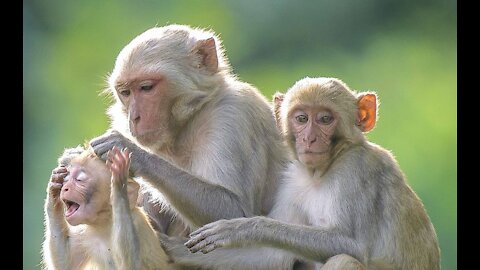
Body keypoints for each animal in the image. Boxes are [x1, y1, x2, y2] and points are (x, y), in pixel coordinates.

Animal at [41, 147, 174, 268]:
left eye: (79, 179)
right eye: (66, 180)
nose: (65, 188)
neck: (104, 224)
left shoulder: (137, 222)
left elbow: (133, 266)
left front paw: (119, 183)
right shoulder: (84, 233)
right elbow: (65, 264)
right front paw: (54, 186)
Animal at [166, 77, 442, 268]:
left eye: (324, 119)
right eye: (301, 119)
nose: (309, 139)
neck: (323, 172)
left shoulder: (357, 170)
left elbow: (354, 246)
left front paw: (242, 228)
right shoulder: (293, 183)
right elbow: (270, 256)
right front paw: (169, 247)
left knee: (344, 259)